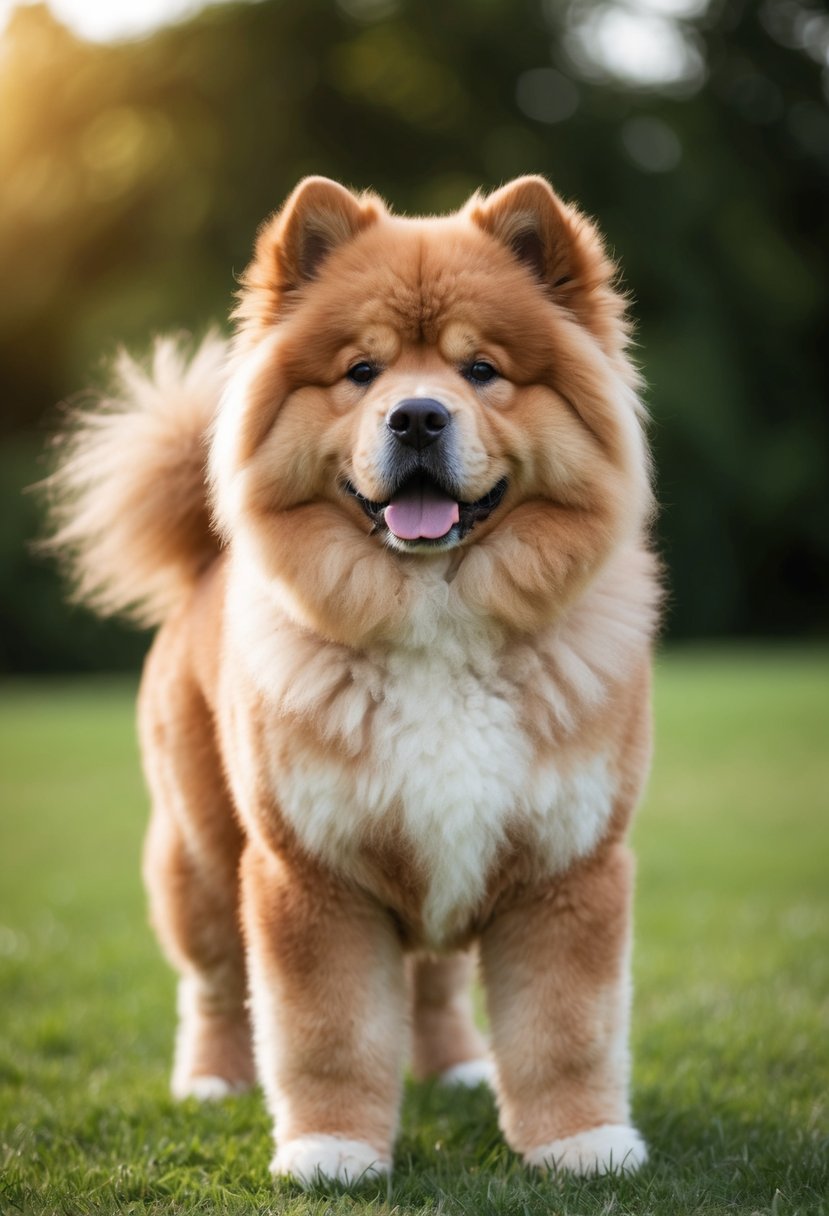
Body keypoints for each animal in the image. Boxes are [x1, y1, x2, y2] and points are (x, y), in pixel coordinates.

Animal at [50, 173, 656, 1186]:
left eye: (480, 370)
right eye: (362, 371)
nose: (417, 416)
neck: (436, 619)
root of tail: (203, 561)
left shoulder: (562, 866)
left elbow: (564, 1030)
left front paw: (582, 1144)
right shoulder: (311, 874)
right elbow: (326, 1033)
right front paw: (330, 1150)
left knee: (435, 981)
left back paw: (457, 1068)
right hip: (201, 855)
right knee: (213, 983)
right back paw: (211, 1081)